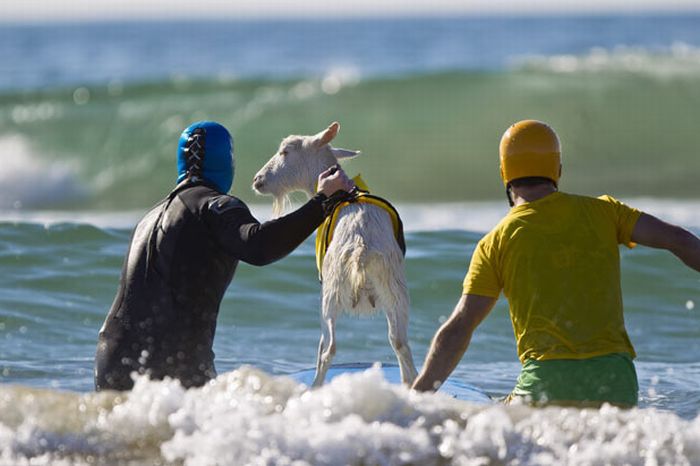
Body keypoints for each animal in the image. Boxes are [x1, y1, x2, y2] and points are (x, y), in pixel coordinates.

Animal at [252, 121, 416, 386]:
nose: (257, 180)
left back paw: (315, 386)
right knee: (400, 342)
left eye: (285, 151)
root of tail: (361, 247)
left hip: (330, 293)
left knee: (328, 347)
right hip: (395, 290)